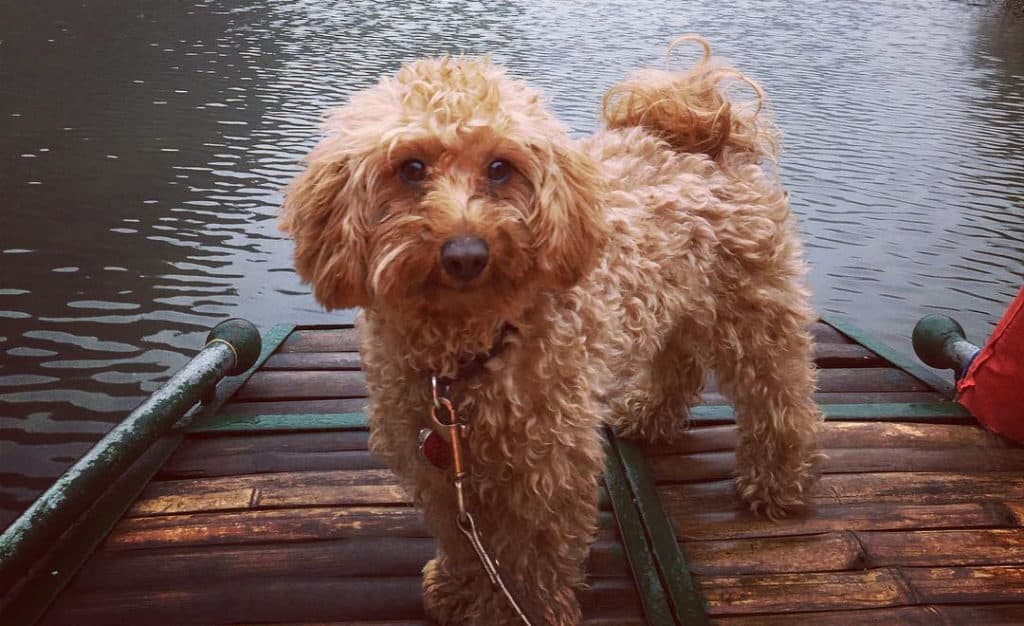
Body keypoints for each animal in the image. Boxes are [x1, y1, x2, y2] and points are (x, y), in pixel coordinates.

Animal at [282, 36, 823, 622]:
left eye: (500, 167)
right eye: (411, 168)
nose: (466, 253)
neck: (470, 355)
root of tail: (704, 132)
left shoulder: (549, 467)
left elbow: (533, 560)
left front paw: (525, 608)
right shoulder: (438, 466)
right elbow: (459, 536)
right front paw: (456, 589)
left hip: (754, 309)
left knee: (781, 395)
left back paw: (775, 484)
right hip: (674, 301)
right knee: (677, 362)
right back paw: (648, 416)